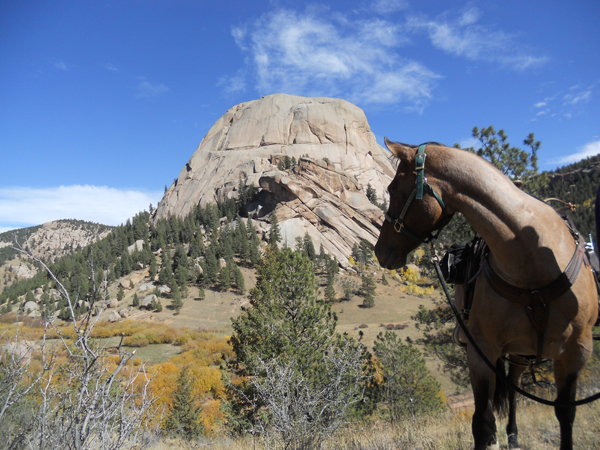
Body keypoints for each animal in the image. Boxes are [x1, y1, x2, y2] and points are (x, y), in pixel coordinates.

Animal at [372, 139, 596, 448]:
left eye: (393, 189)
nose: (379, 251)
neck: (533, 264)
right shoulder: (481, 351)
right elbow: (483, 423)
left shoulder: (577, 351)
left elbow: (566, 412)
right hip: (517, 353)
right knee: (513, 388)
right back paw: (512, 436)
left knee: (515, 388)